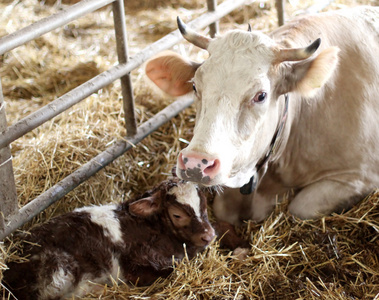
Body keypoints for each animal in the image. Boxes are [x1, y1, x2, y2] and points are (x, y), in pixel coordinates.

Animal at [145, 5, 379, 224]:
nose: (196, 163)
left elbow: (301, 207)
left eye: (261, 95)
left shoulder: (360, 176)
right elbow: (223, 210)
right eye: (194, 86)